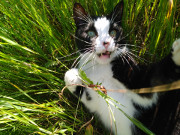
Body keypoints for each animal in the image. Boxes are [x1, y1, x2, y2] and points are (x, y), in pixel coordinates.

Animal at [64, 1, 180, 135]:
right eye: (91, 33)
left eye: (113, 32)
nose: (106, 42)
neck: (101, 68)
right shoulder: (94, 102)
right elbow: (71, 78)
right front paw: (74, 75)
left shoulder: (137, 80)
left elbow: (154, 78)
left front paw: (177, 53)